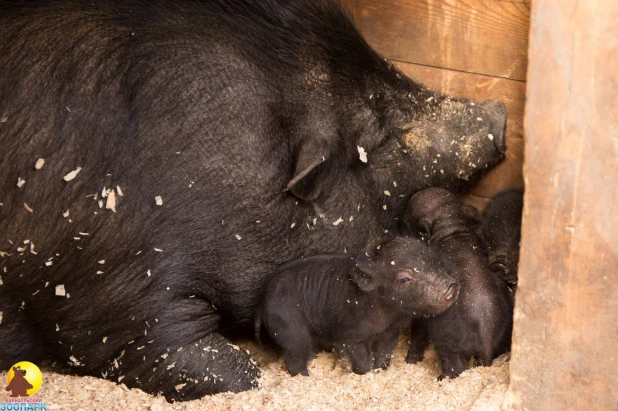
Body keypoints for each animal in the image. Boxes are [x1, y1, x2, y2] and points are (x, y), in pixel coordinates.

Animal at [254, 238, 458, 376]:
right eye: (404, 279)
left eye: (436, 262)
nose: (451, 288)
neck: (388, 313)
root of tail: (262, 302)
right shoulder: (349, 335)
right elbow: (361, 359)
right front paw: (366, 374)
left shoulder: (391, 332)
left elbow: (384, 354)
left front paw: (381, 372)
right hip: (289, 326)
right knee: (294, 355)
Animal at [400, 188, 510, 382]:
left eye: (407, 218)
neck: (451, 231)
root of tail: (486, 336)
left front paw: (411, 360)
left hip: (449, 343)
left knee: (455, 366)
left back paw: (441, 378)